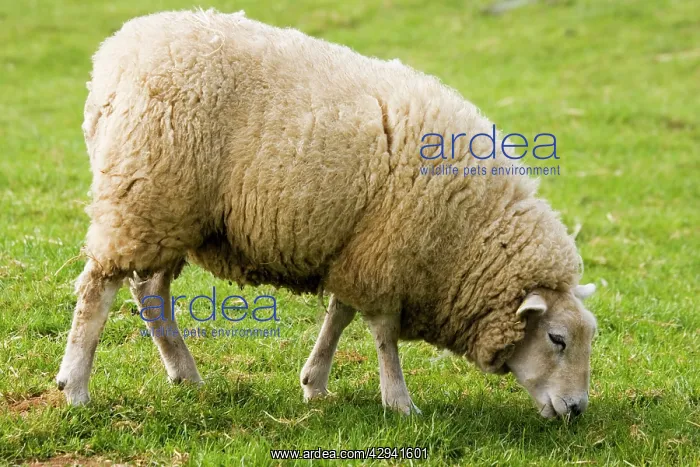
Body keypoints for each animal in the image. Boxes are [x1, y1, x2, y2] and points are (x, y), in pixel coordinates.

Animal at [57, 9, 597, 417]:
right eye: (557, 339)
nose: (576, 410)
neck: (470, 232)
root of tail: (112, 58)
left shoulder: (357, 248)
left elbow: (340, 314)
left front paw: (314, 381)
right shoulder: (387, 253)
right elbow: (383, 335)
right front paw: (399, 402)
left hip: (170, 212)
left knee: (149, 290)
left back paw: (184, 374)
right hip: (144, 194)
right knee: (98, 287)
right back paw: (76, 385)